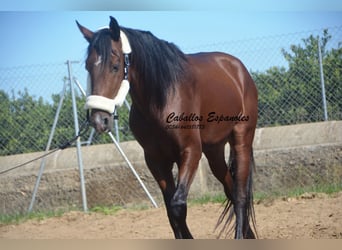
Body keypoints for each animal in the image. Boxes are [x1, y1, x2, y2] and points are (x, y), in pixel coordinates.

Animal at [77, 16, 256, 239]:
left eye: (115, 66)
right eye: (87, 66)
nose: (99, 120)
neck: (162, 100)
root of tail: (237, 69)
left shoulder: (190, 152)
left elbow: (178, 205)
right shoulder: (156, 161)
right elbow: (171, 211)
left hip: (241, 140)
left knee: (240, 194)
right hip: (214, 151)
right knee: (230, 189)